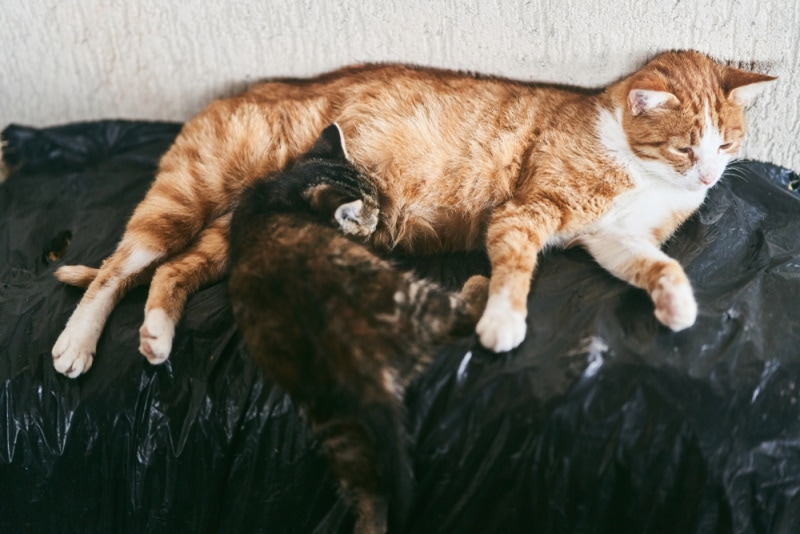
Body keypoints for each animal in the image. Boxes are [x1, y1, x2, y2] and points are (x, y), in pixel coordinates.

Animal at [51, 49, 776, 376]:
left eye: (727, 144)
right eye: (685, 147)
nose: (709, 176)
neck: (636, 167)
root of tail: (234, 92)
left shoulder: (614, 240)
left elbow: (661, 267)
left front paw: (678, 306)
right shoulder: (523, 216)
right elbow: (514, 273)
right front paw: (501, 325)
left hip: (239, 231)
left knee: (171, 273)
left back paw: (156, 336)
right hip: (183, 200)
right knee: (118, 267)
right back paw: (76, 344)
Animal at [225, 125, 488, 534]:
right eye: (373, 212)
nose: (380, 215)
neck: (284, 192)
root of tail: (363, 363)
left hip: (334, 421)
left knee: (366, 489)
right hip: (408, 296)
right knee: (460, 312)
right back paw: (479, 283)